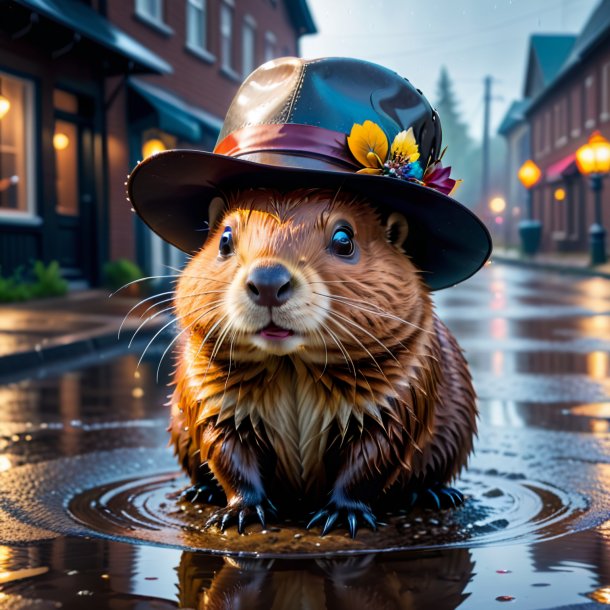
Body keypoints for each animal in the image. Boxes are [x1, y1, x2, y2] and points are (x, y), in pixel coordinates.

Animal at [169, 185, 478, 532]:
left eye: (344, 239)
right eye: (224, 240)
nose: (268, 281)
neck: (290, 366)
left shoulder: (401, 386)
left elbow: (376, 454)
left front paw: (342, 515)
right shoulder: (210, 388)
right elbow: (224, 447)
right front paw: (239, 513)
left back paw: (437, 494)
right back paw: (199, 491)